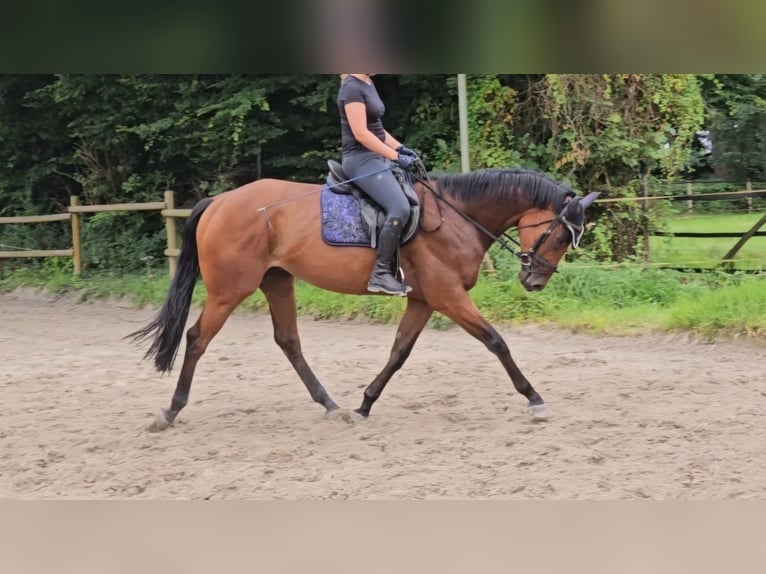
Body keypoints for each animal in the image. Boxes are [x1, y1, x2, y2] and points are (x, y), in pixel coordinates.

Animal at [130, 164, 600, 430]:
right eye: (561, 236)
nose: (534, 281)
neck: (457, 215)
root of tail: (220, 201)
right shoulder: (447, 296)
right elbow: (496, 342)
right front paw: (534, 399)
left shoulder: (424, 300)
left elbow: (398, 353)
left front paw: (364, 405)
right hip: (230, 290)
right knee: (196, 340)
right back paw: (171, 411)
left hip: (277, 281)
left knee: (288, 341)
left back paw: (330, 404)